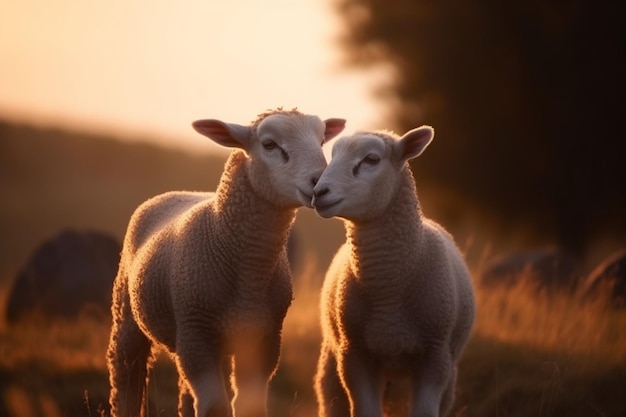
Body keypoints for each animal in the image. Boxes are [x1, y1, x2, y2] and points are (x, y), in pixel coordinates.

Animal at [105, 108, 344, 416]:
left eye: (322, 141)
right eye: (269, 144)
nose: (319, 184)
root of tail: (182, 192)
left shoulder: (264, 339)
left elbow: (249, 405)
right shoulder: (196, 334)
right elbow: (215, 407)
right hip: (128, 314)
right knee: (126, 379)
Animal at [310, 126, 476, 416]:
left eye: (372, 159)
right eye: (332, 154)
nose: (319, 193)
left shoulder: (435, 356)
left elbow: (425, 412)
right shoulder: (354, 355)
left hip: (447, 374)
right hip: (332, 363)